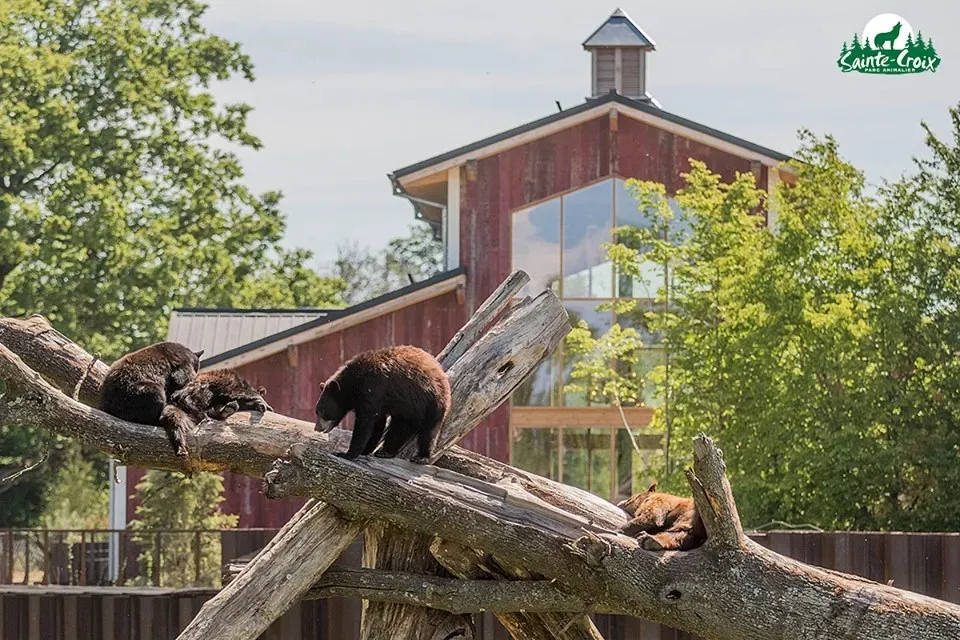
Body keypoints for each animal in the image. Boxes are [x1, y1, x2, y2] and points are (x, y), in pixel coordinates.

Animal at [314, 344, 452, 464]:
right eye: (317, 412)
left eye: (321, 412)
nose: (317, 428)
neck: (354, 382)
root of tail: (441, 372)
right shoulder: (376, 400)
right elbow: (378, 423)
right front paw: (366, 450)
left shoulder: (373, 388)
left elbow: (365, 423)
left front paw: (347, 453)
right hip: (409, 408)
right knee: (401, 427)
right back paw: (386, 452)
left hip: (433, 400)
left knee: (428, 430)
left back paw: (421, 457)